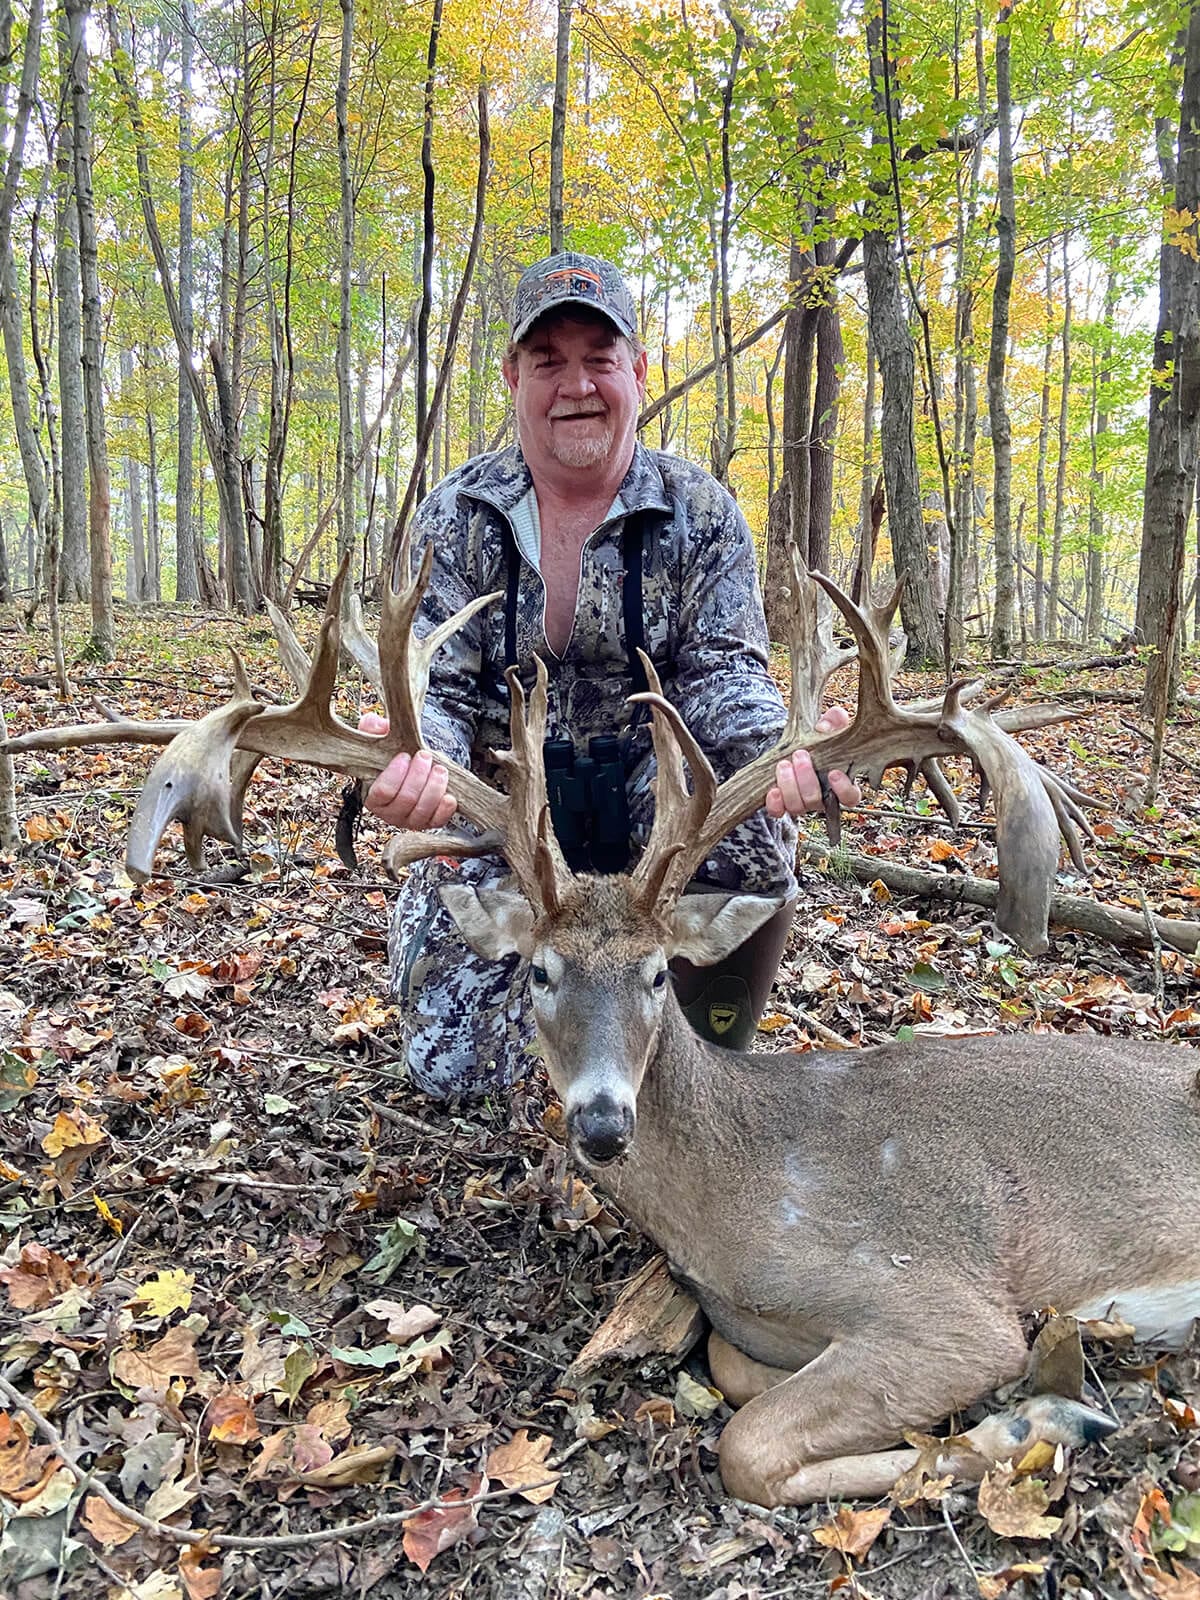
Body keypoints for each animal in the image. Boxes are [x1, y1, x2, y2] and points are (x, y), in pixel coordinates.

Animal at [7, 539, 1200, 1507]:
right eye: (536, 971)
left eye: (661, 975)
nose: (601, 1123)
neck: (740, 1193)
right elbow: (733, 1377)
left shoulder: (945, 1298)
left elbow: (749, 1447)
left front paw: (1040, 1414)